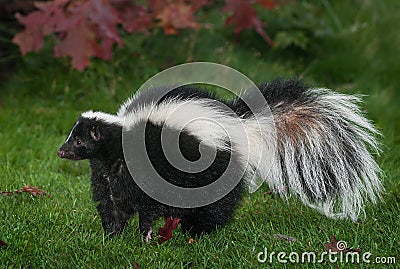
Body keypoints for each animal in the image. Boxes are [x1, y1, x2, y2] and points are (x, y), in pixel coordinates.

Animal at [58, 78, 382, 239]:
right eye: (71, 136)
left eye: (79, 140)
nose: (61, 151)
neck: (119, 145)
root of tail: (242, 125)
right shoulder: (109, 175)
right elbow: (111, 203)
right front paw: (111, 238)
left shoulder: (147, 167)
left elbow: (147, 205)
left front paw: (145, 236)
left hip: (215, 165)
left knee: (216, 205)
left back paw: (198, 233)